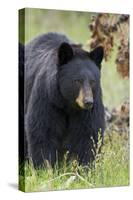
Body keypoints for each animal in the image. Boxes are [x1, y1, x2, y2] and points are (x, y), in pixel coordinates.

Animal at [21, 32, 105, 167]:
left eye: (92, 81)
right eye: (77, 80)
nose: (88, 102)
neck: (68, 104)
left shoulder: (91, 107)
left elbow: (89, 134)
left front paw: (86, 167)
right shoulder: (48, 98)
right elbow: (43, 130)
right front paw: (45, 167)